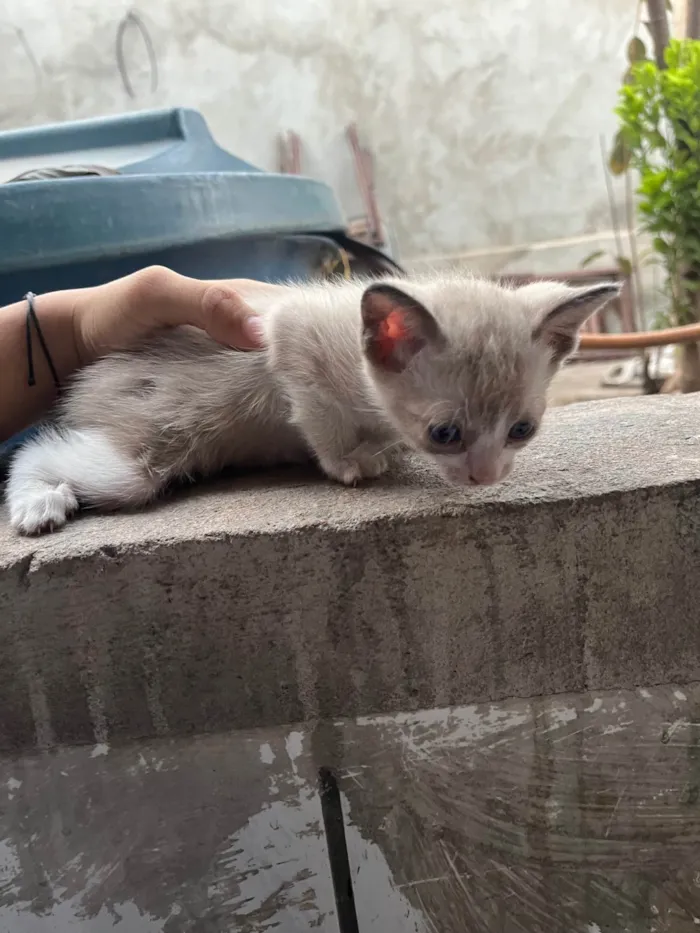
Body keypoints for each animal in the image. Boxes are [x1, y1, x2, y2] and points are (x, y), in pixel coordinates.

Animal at [5, 272, 616, 532]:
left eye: (522, 430)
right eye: (444, 434)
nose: (485, 478)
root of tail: (90, 378)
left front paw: (380, 449)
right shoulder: (289, 338)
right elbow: (316, 414)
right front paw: (346, 463)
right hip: (142, 448)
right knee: (39, 452)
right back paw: (39, 503)